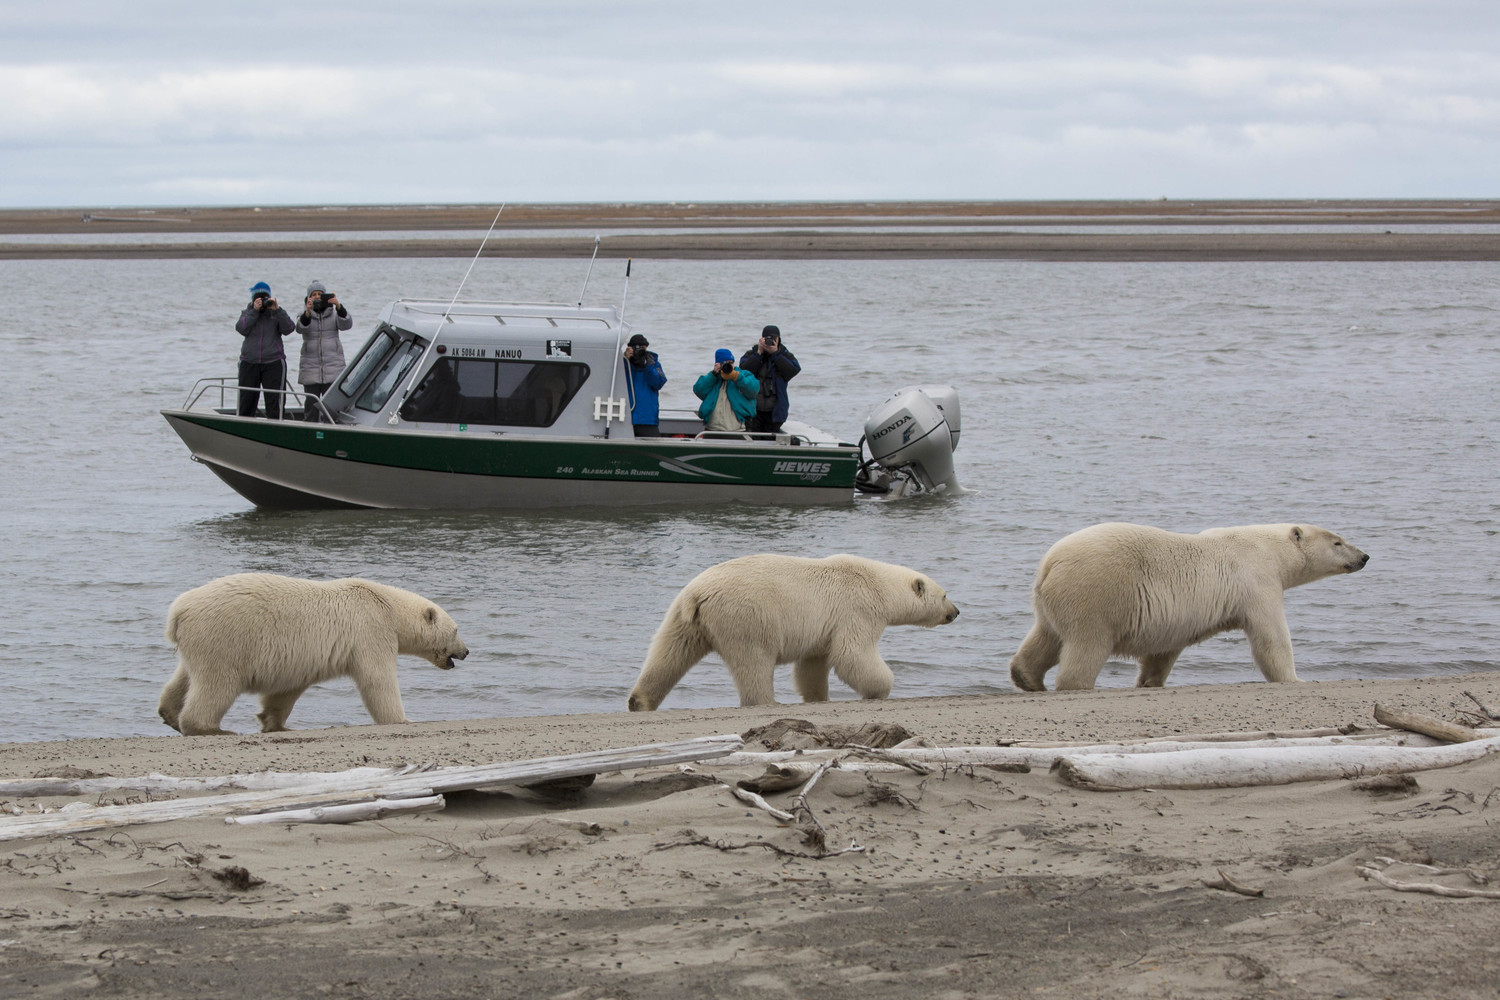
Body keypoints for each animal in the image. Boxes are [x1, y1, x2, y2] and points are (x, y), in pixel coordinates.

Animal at [158, 573, 469, 735]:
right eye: (456, 630)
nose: (466, 651)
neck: (388, 606)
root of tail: (178, 611)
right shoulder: (371, 630)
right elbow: (377, 680)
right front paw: (403, 720)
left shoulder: (298, 659)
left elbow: (286, 691)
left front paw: (273, 723)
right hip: (226, 638)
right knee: (217, 684)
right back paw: (210, 728)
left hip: (200, 641)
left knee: (185, 676)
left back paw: (169, 713)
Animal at [626, 553, 959, 711]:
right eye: (945, 595)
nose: (955, 612)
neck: (879, 583)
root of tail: (698, 595)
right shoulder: (857, 610)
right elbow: (852, 653)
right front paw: (881, 688)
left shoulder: (824, 628)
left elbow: (812, 664)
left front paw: (817, 697)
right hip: (747, 616)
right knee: (754, 661)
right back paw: (767, 701)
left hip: (684, 617)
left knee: (669, 652)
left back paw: (640, 701)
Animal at [1008, 522, 1369, 692]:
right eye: (1337, 541)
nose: (1364, 556)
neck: (1269, 548)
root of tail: (1050, 562)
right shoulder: (1256, 580)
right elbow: (1271, 637)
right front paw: (1296, 679)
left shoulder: (1177, 619)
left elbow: (1163, 651)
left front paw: (1149, 682)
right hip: (1096, 593)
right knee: (1087, 644)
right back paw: (1076, 684)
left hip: (1052, 599)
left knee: (1046, 636)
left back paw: (1027, 678)